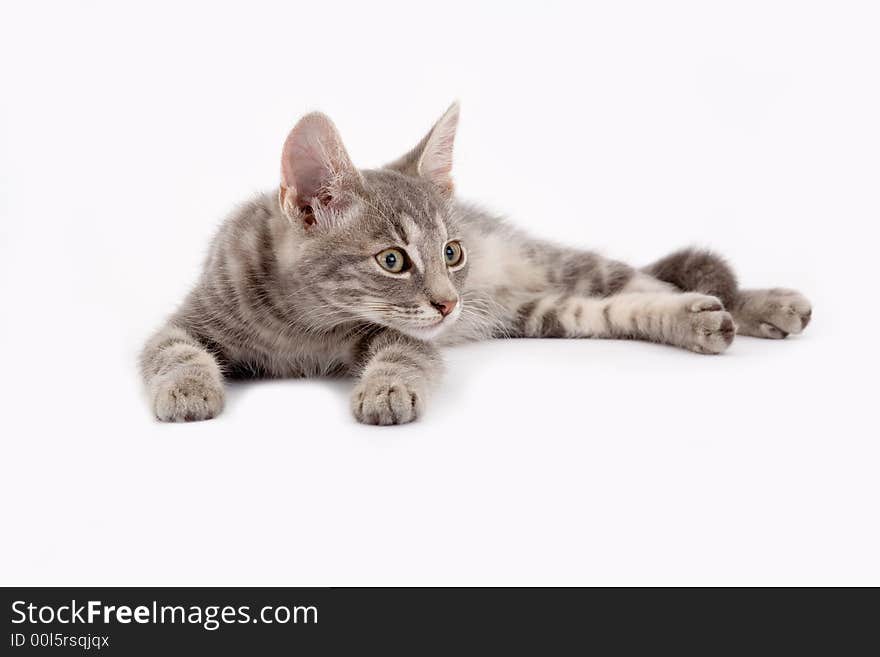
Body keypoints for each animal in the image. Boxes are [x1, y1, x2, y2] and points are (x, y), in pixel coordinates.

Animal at [143, 100, 812, 422]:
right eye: (393, 259)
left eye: (451, 251)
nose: (449, 302)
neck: (302, 327)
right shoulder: (188, 316)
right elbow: (172, 351)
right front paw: (186, 389)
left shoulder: (406, 334)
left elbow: (405, 354)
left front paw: (386, 388)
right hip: (545, 314)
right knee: (617, 308)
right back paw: (701, 320)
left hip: (566, 267)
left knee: (649, 280)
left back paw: (759, 305)